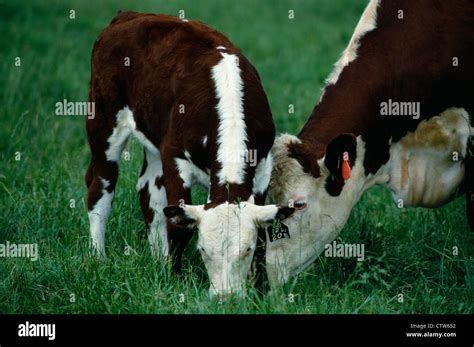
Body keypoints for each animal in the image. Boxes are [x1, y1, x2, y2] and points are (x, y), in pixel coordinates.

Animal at [84, 11, 292, 300]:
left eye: (247, 250)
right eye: (203, 249)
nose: (225, 297)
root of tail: (129, 15)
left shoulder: (263, 167)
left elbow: (263, 233)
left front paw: (259, 288)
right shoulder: (174, 157)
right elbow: (178, 226)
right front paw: (174, 280)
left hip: (153, 141)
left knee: (149, 193)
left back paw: (157, 258)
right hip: (104, 122)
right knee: (100, 189)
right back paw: (98, 257)